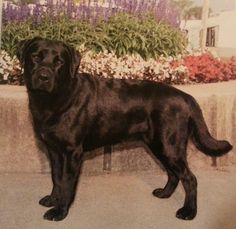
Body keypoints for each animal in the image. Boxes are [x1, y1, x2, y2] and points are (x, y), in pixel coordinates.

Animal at [17, 36, 232, 221]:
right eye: (35, 57)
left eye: (59, 62)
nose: (44, 76)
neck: (52, 100)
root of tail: (186, 96)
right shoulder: (53, 150)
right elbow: (56, 178)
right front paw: (52, 199)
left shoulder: (72, 152)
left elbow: (67, 183)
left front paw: (60, 211)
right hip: (159, 146)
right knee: (173, 174)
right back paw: (164, 193)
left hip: (169, 145)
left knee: (189, 178)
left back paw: (189, 212)